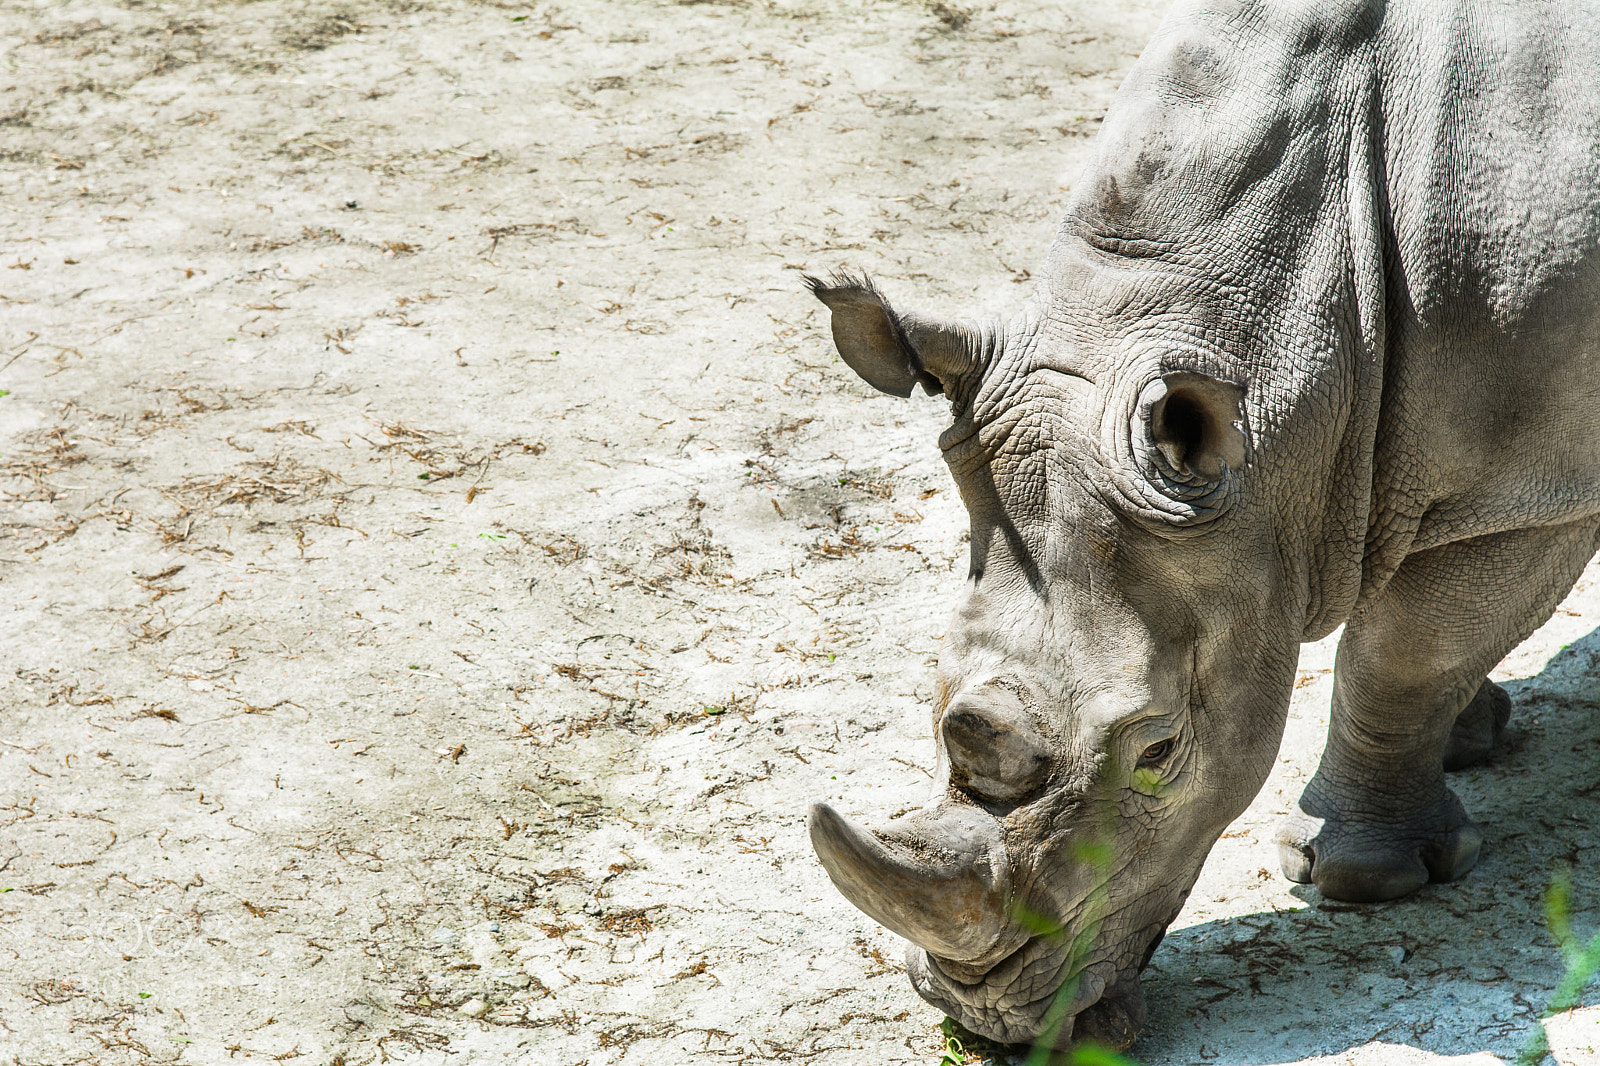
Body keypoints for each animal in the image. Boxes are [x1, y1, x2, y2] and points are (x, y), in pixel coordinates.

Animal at [804, 0, 1600, 1051]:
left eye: (1161, 753)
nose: (987, 1023)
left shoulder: (1533, 490)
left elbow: (1404, 653)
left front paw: (1363, 878)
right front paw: (1472, 735)